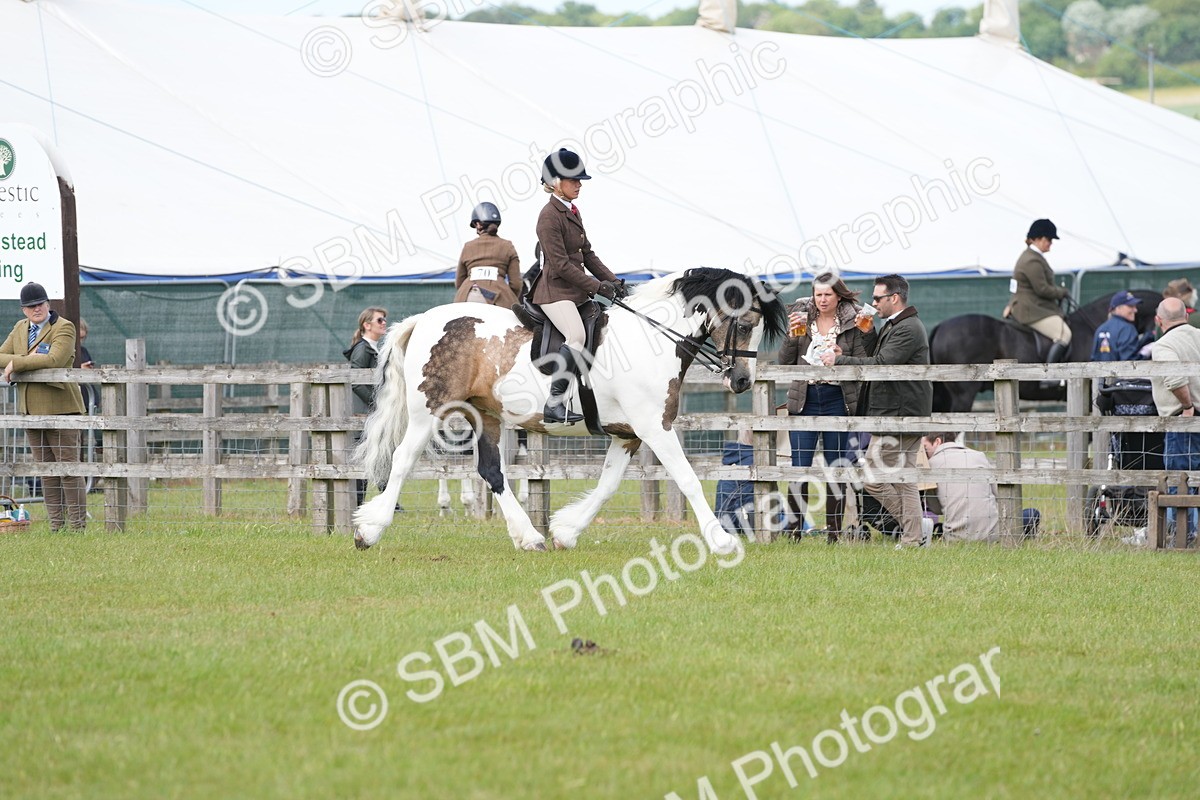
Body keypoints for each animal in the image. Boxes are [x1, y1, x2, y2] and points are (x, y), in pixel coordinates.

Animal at [351, 267, 789, 554]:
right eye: (745, 324)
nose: (742, 381)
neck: (651, 338)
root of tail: (424, 319)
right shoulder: (655, 428)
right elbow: (688, 479)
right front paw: (721, 541)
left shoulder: (628, 434)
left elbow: (608, 485)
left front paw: (566, 531)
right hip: (430, 410)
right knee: (403, 461)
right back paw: (369, 531)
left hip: (485, 414)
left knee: (492, 472)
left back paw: (530, 538)